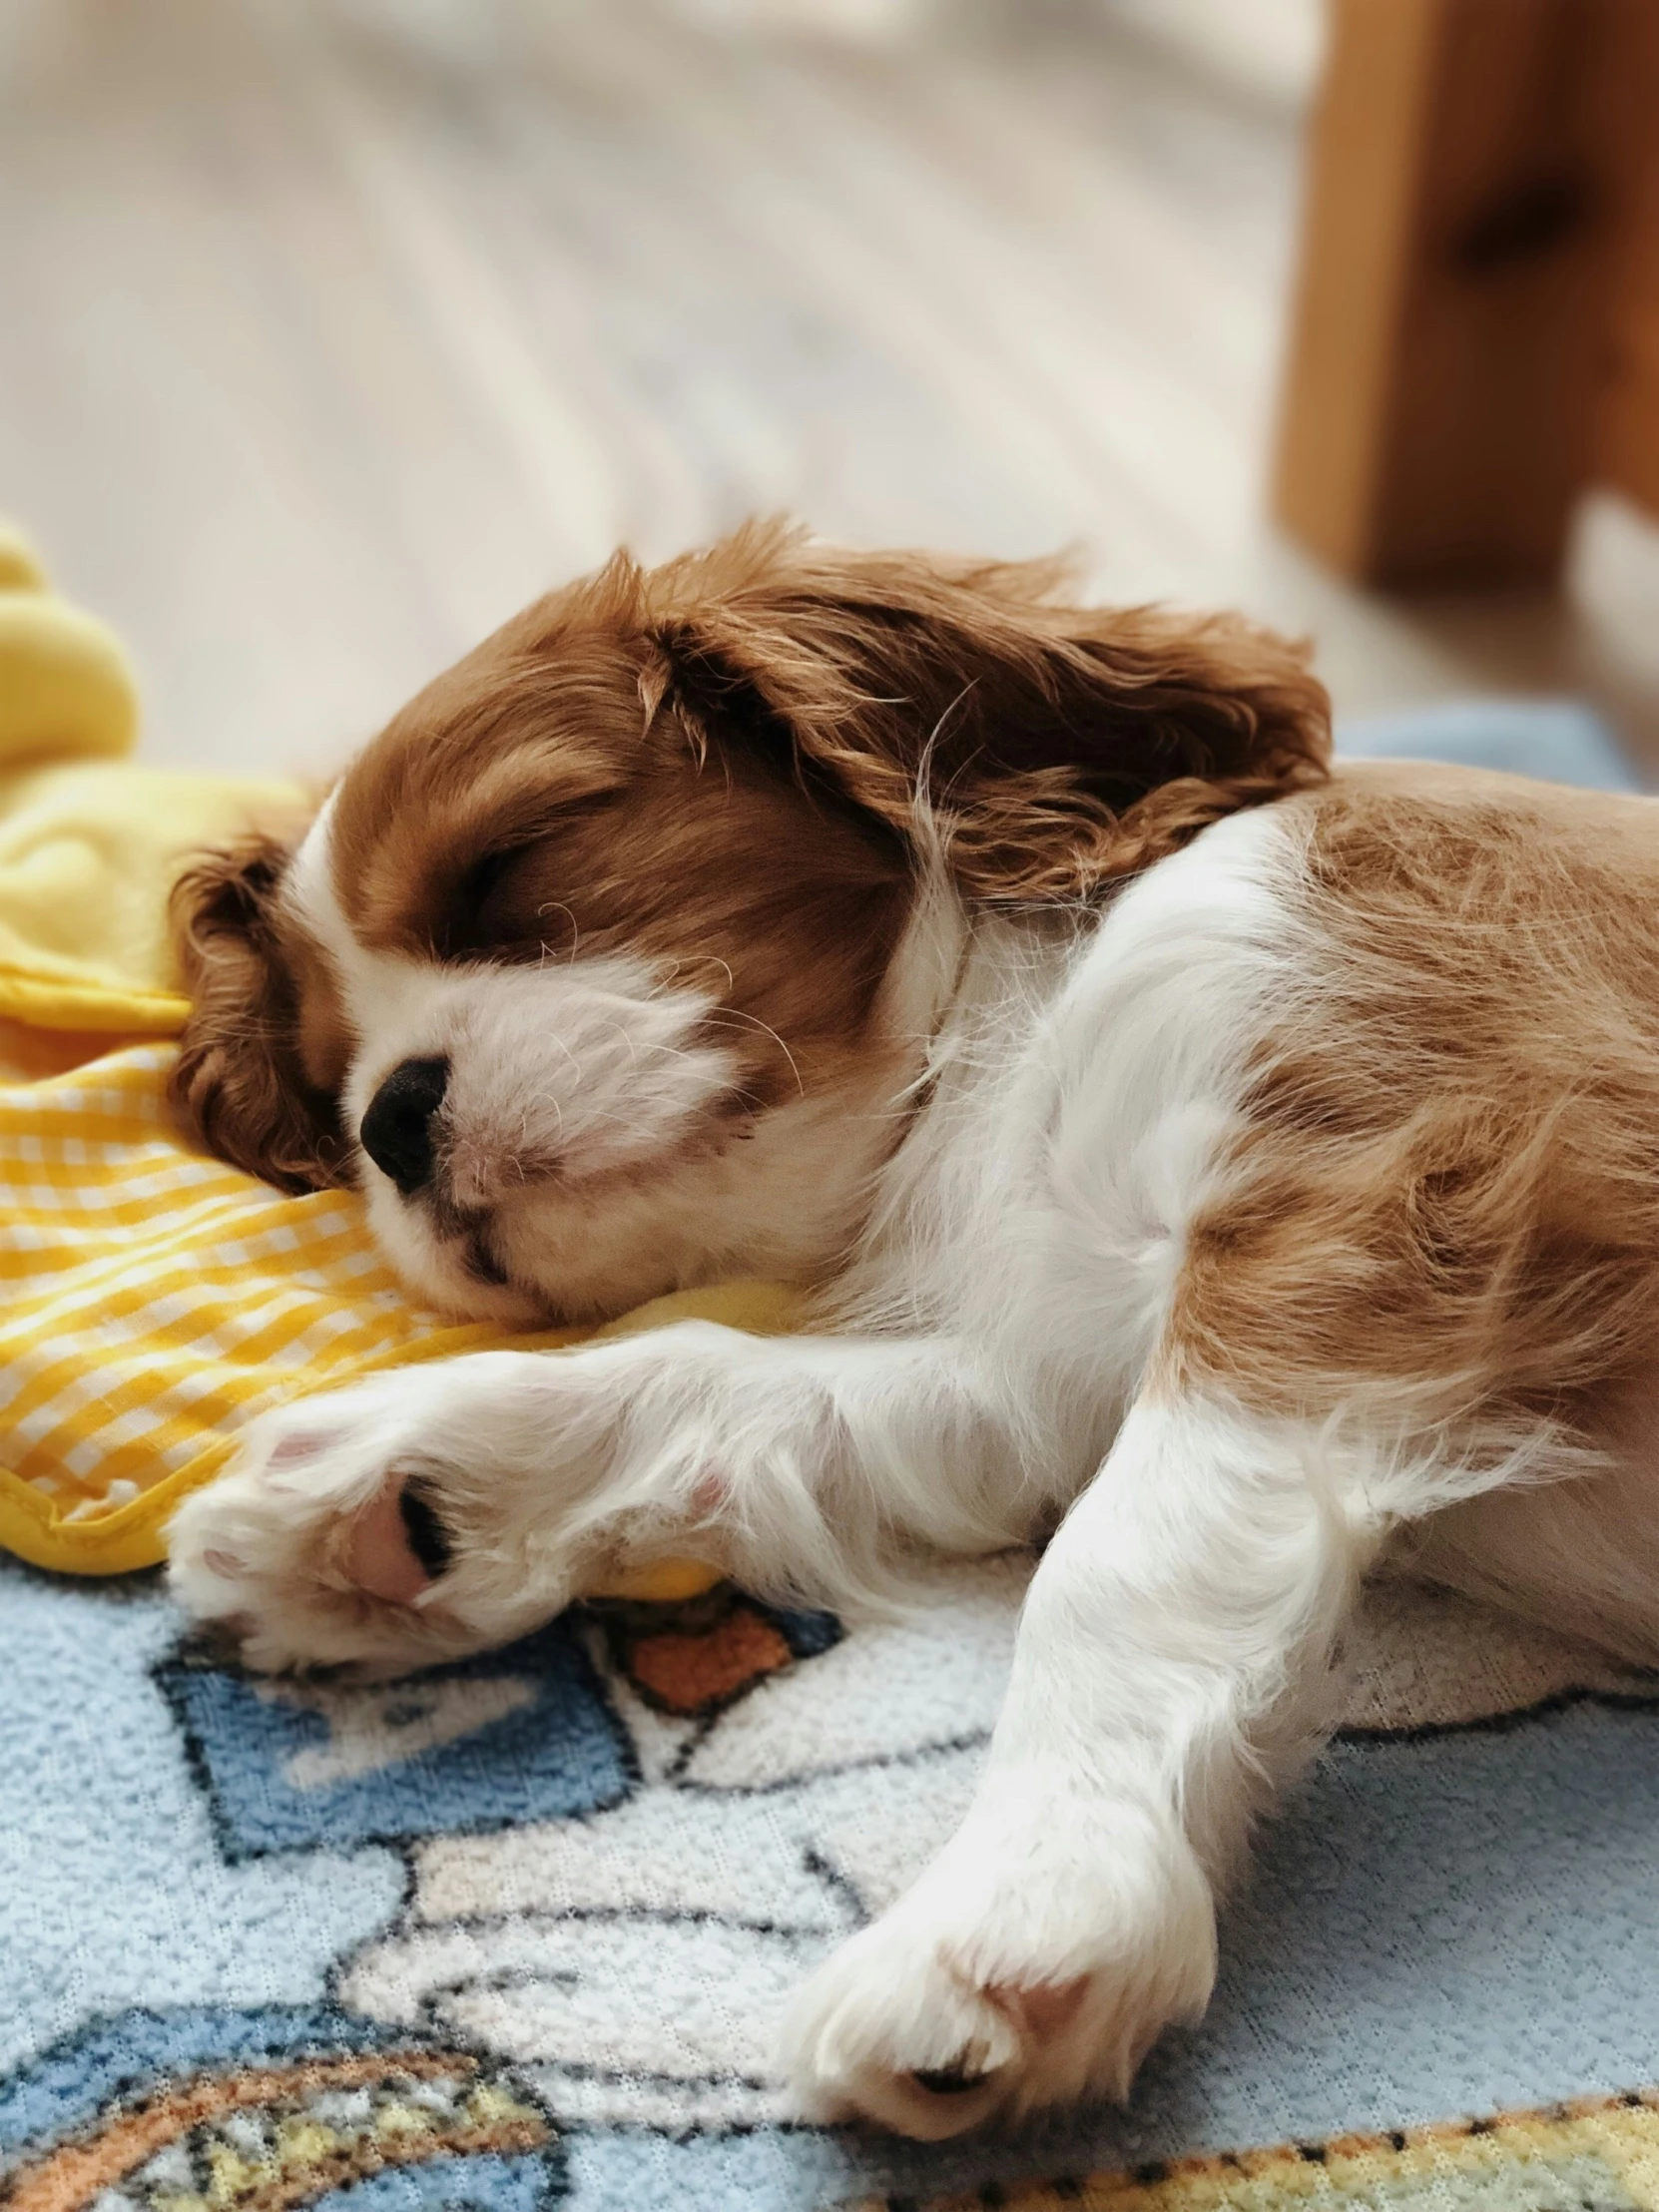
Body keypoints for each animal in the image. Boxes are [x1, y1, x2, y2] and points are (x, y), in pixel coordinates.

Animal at [162, 521, 1659, 2141]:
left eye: (513, 865)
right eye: (331, 1083)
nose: (393, 1119)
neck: (1017, 1034)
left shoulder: (1392, 1178)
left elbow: (1114, 1572)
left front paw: (1029, 1902)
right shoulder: (1041, 1376)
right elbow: (710, 1368)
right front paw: (393, 1492)